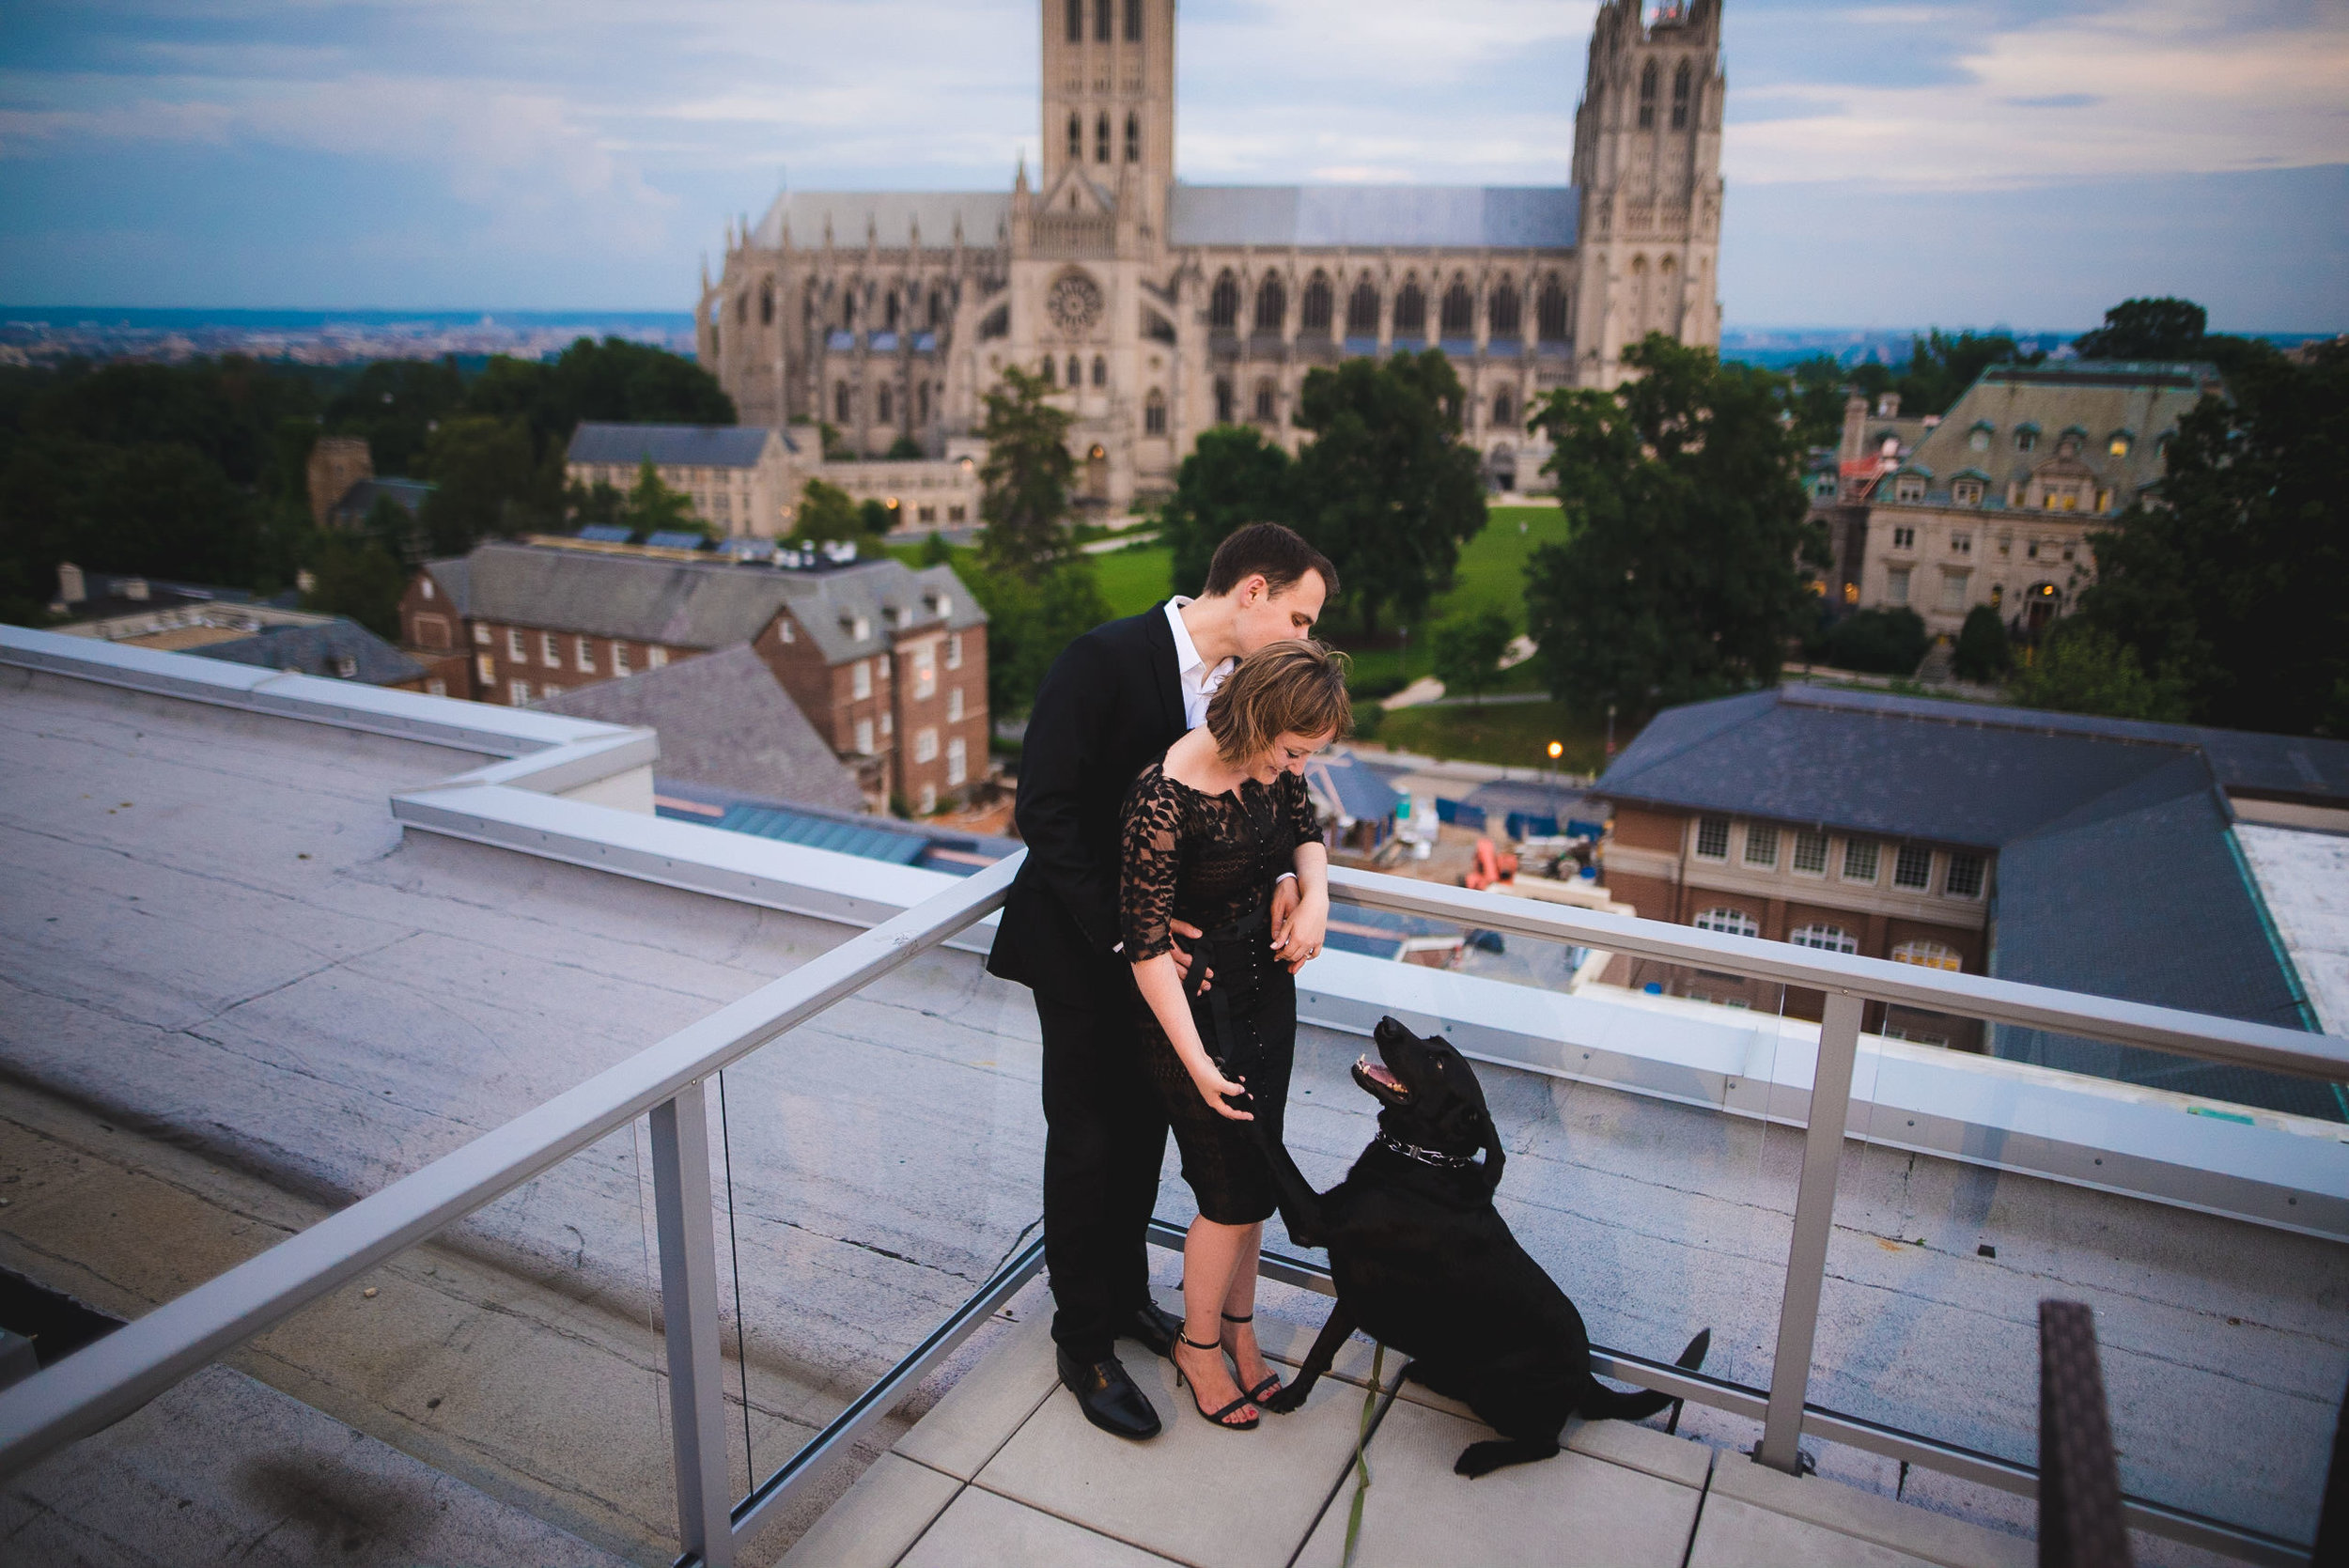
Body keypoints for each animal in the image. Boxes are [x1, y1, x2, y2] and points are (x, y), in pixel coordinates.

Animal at [1259, 1009, 1719, 1474]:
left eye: (1439, 1062)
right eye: (1431, 1040)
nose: (1387, 1022)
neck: (1422, 1159)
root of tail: (1587, 1377)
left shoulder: (1314, 1222)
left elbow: (1270, 1139)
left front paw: (1241, 1086)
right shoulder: (1352, 1296)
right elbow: (1320, 1350)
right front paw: (1292, 1396)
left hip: (1496, 1385)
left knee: (1546, 1444)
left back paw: (1481, 1456)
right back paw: (1428, 1376)